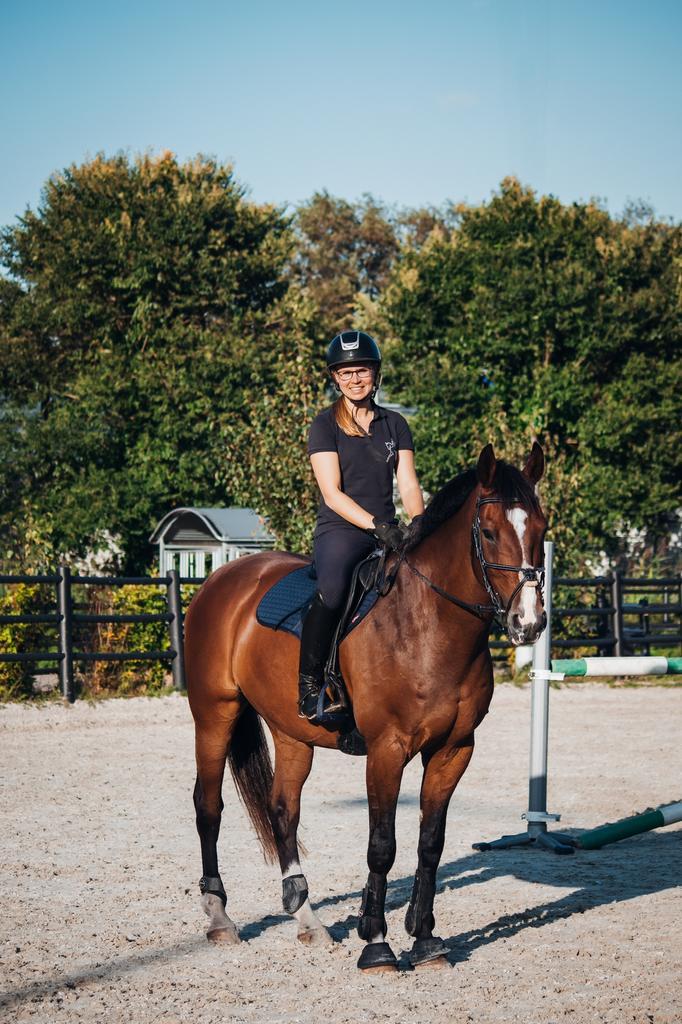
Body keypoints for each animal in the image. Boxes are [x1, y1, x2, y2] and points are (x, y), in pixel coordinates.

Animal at [185, 442, 548, 970]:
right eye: (488, 531)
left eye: (541, 528)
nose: (529, 622)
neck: (427, 627)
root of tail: (223, 578)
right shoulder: (386, 750)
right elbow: (383, 846)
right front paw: (376, 943)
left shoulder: (454, 749)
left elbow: (430, 844)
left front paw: (425, 939)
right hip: (215, 714)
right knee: (208, 806)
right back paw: (219, 918)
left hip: (291, 732)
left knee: (282, 810)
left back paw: (308, 920)